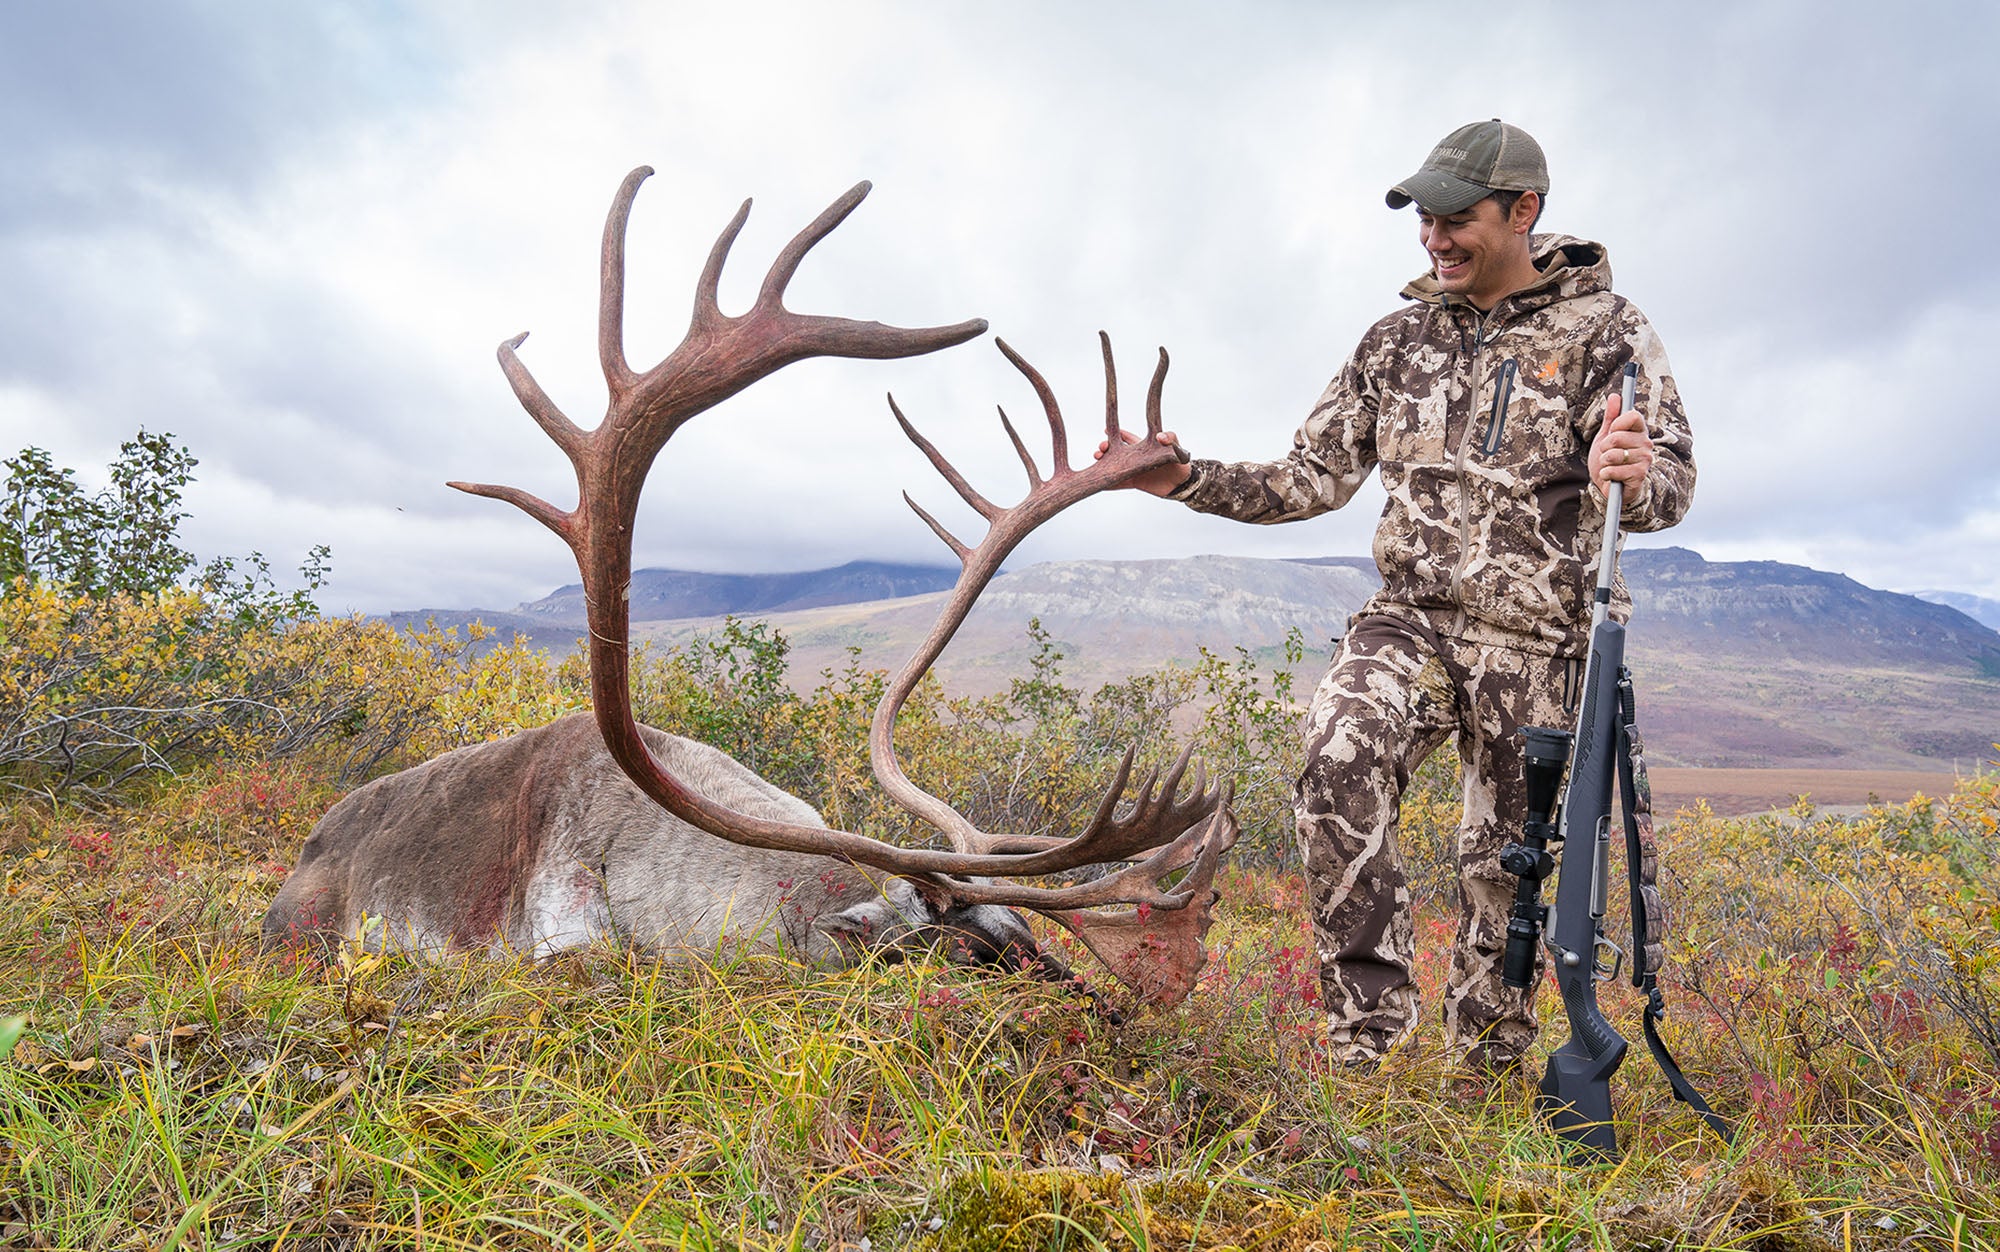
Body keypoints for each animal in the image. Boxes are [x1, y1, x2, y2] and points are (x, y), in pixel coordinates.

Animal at [261, 169, 1238, 1006]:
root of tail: (314, 833)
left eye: (1029, 936)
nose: (1115, 1013)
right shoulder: (565, 939)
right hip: (300, 929)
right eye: (964, 951)